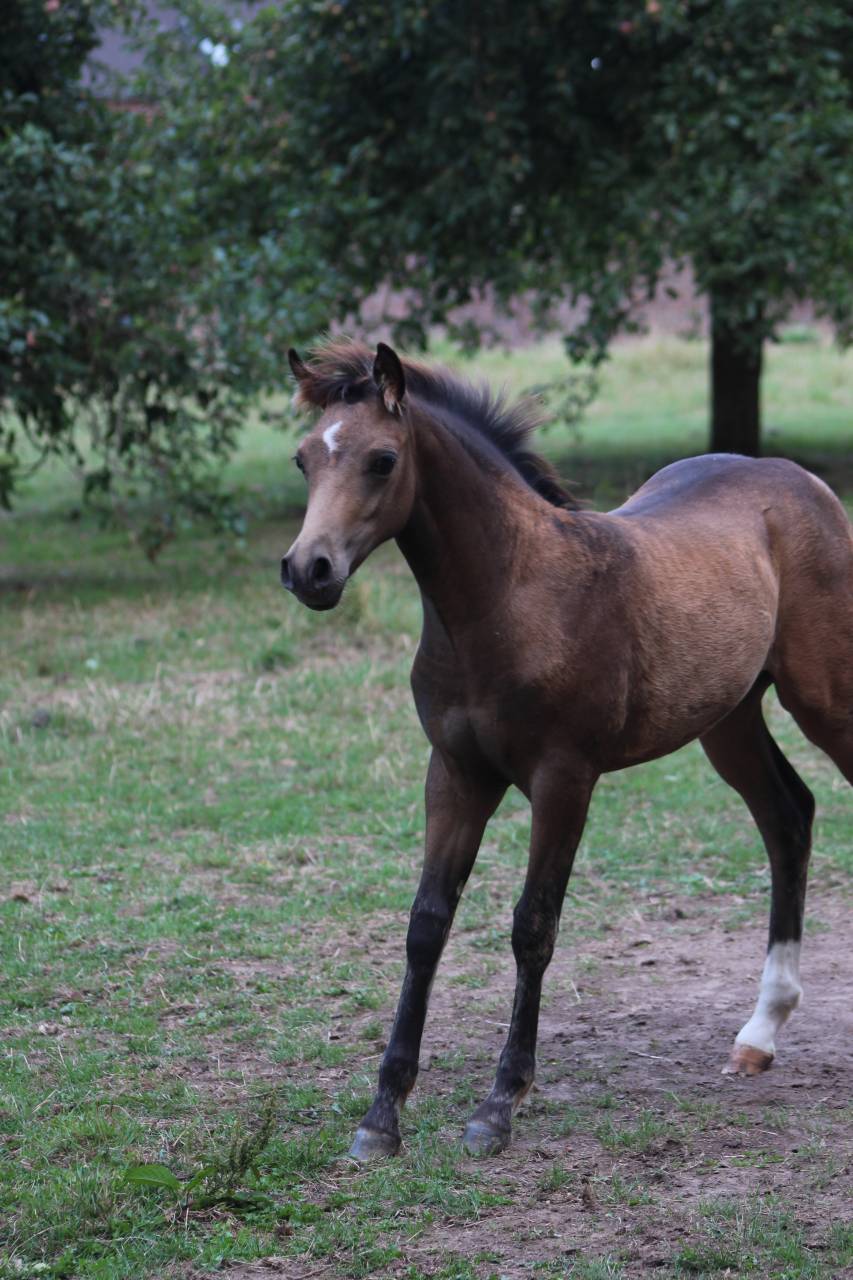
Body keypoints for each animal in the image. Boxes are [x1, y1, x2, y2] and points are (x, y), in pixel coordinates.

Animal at [281, 337, 852, 1160]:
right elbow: (426, 925)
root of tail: (801, 479)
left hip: (825, 699)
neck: (509, 598)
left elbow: (532, 926)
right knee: (788, 816)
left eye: (382, 460)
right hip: (728, 720)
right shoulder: (455, 774)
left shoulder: (563, 779)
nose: (308, 570)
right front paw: (381, 1115)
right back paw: (759, 1033)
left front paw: (498, 1104)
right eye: (302, 460)